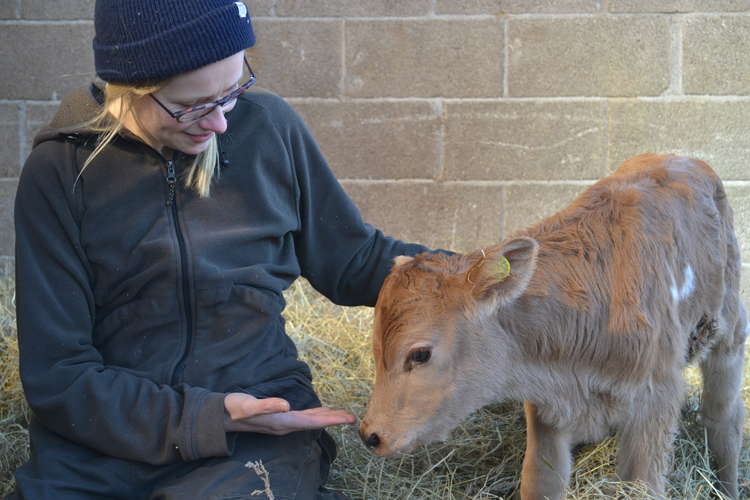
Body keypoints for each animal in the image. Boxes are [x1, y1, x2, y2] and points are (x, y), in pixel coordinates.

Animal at [362, 154, 748, 498]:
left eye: (420, 354)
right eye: (376, 348)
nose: (370, 435)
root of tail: (685, 159)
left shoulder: (657, 398)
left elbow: (643, 486)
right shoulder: (547, 410)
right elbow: (540, 482)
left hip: (729, 331)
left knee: (723, 418)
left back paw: (727, 487)